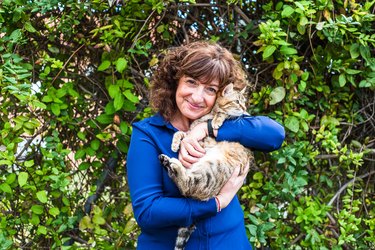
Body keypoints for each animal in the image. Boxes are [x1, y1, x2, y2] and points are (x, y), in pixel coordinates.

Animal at [159, 83, 256, 250]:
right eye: (237, 101)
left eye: (244, 102)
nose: (244, 108)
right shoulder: (191, 132)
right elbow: (181, 133)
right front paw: (175, 143)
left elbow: (223, 115)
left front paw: (217, 120)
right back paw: (167, 161)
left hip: (210, 169)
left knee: (186, 185)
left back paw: (172, 164)